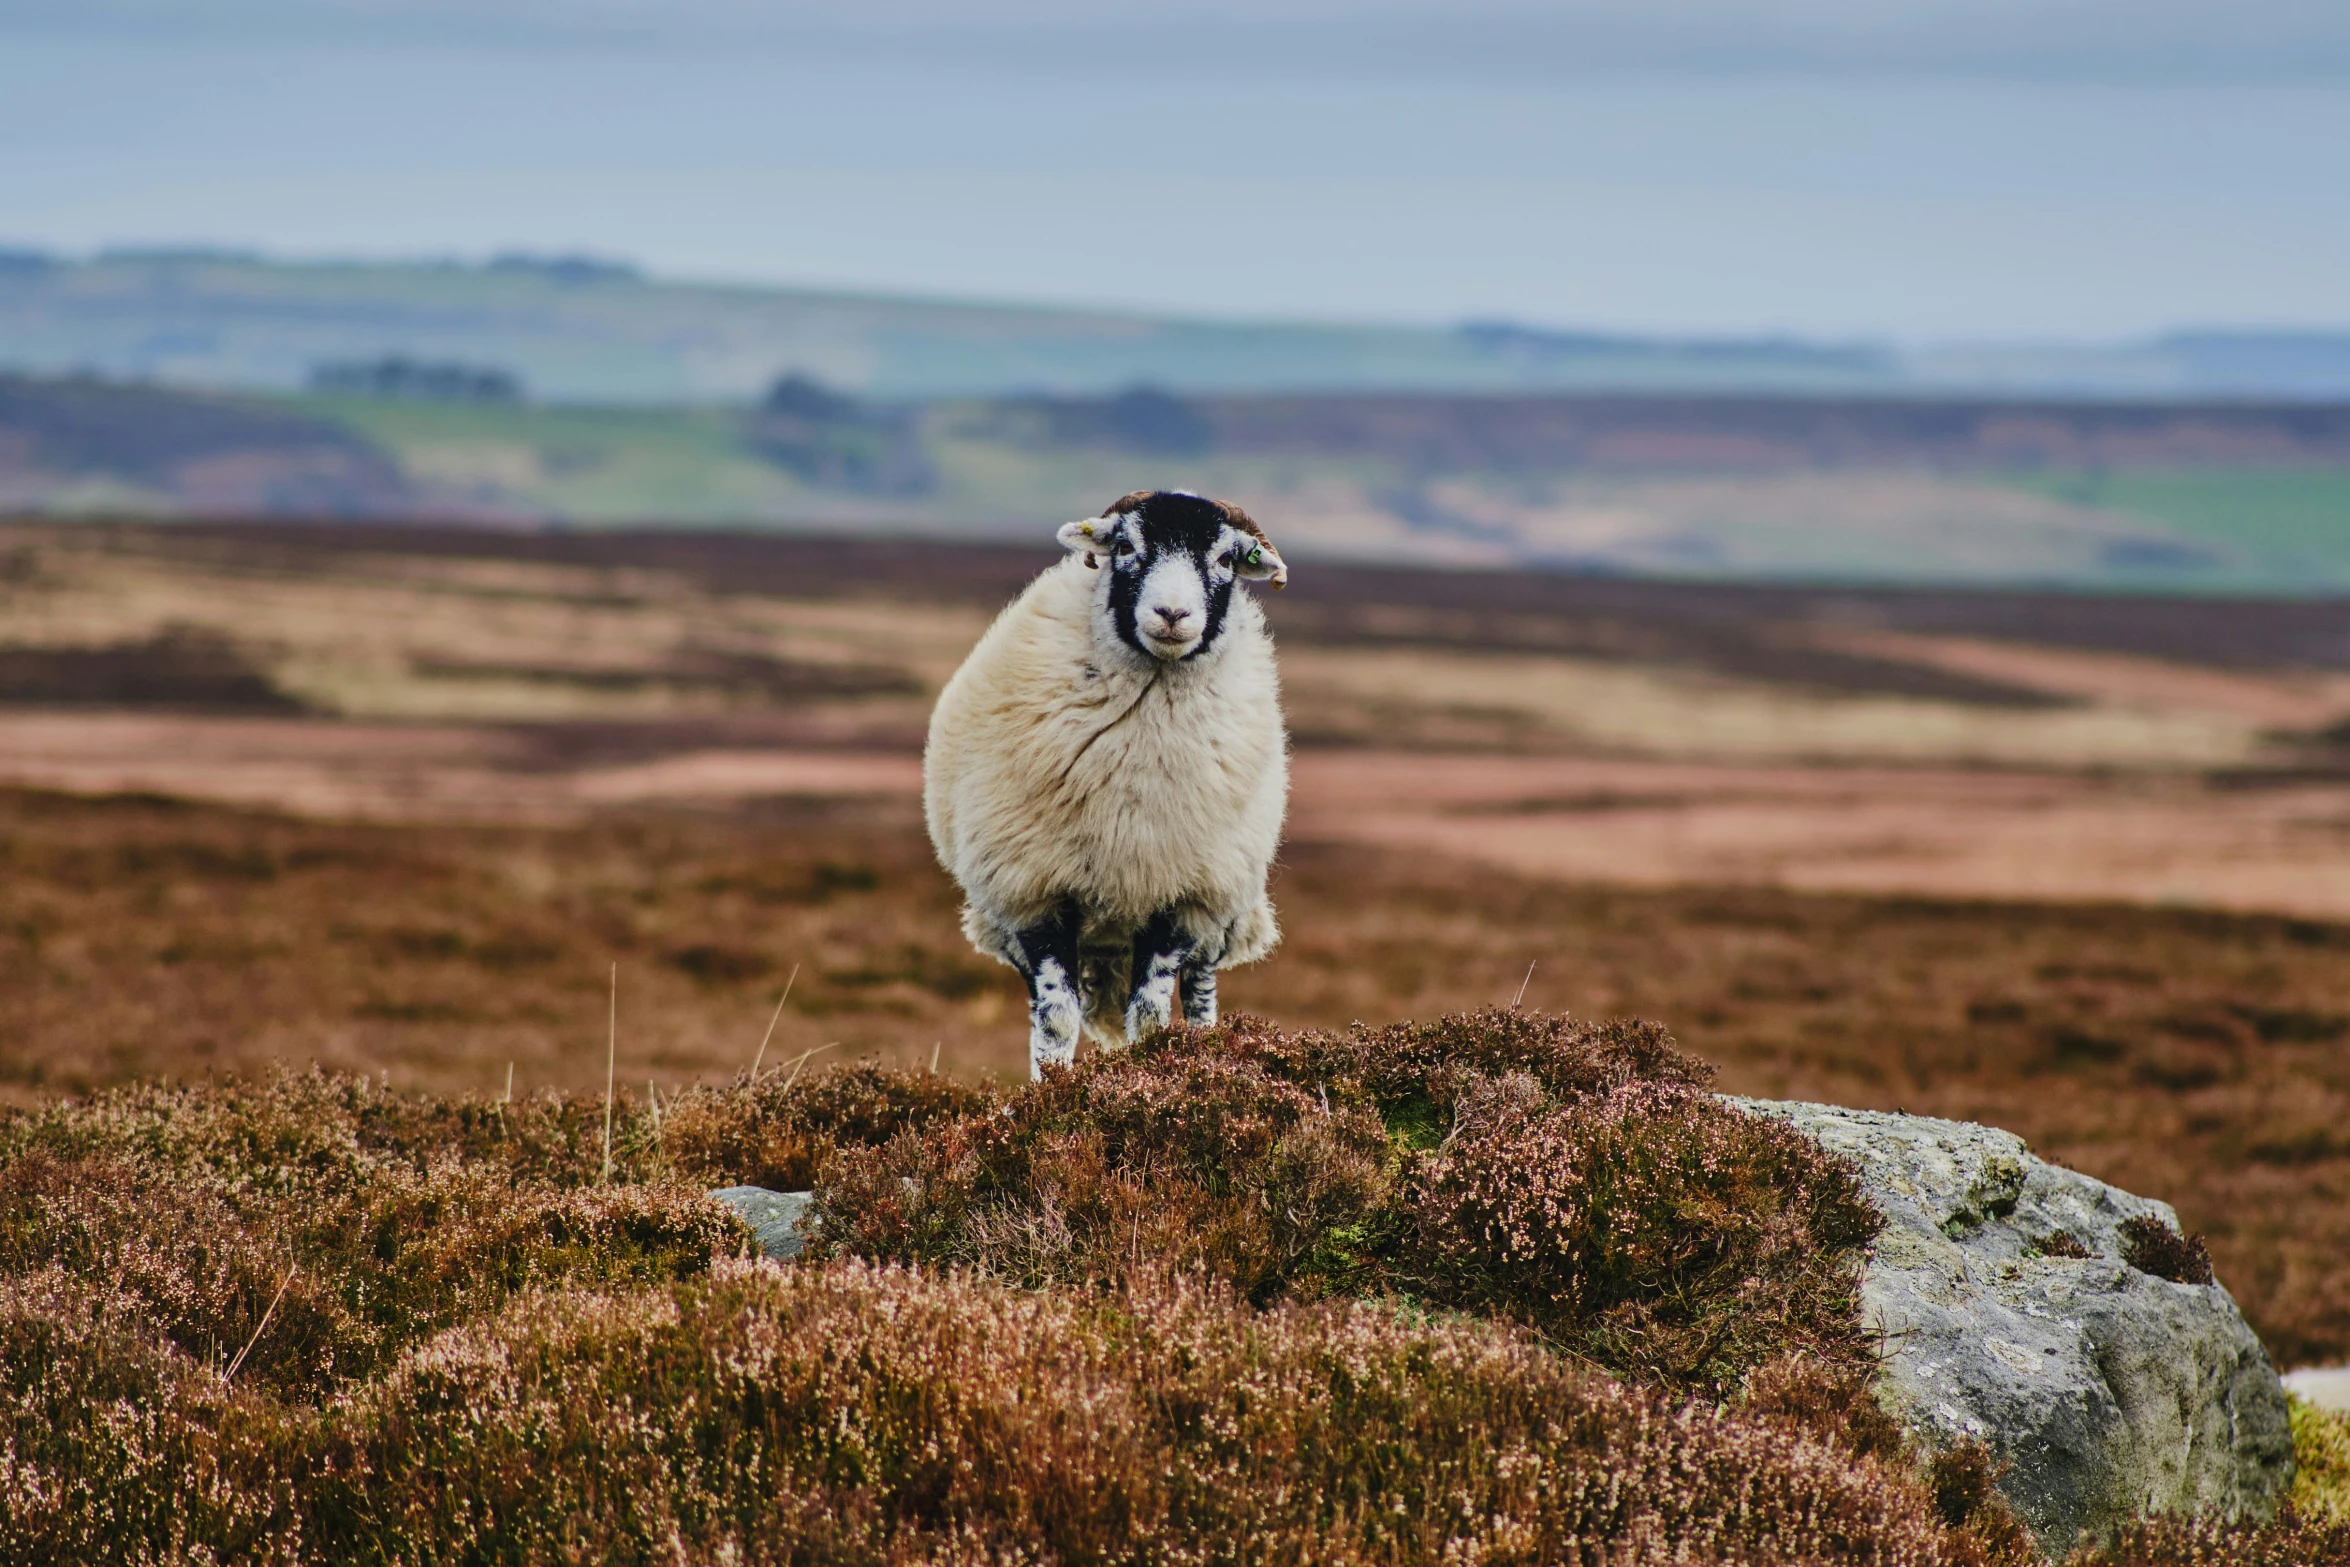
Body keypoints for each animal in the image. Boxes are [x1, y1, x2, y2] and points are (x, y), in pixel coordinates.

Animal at [916, 491, 1287, 1080]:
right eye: (1126, 547)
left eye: (1227, 559)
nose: (1172, 614)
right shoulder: (1036, 897)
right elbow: (1055, 1019)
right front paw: (1050, 1090)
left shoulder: (1178, 897)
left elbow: (1153, 1017)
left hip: (1219, 909)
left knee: (1200, 996)